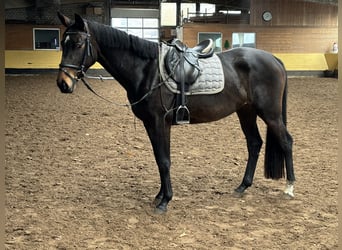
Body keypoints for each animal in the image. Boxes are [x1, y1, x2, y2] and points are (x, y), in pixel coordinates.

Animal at [55, 13, 294, 213]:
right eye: (63, 44)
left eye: (78, 43)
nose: (63, 83)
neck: (148, 70)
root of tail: (274, 59)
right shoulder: (152, 124)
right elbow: (160, 158)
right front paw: (160, 195)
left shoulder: (159, 121)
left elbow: (164, 160)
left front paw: (165, 201)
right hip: (246, 111)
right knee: (254, 143)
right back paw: (243, 186)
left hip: (270, 114)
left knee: (285, 142)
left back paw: (289, 187)